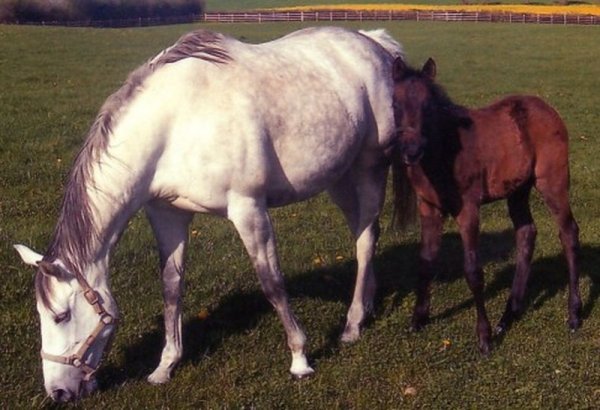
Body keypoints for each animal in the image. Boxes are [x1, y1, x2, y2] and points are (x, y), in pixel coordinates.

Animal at [14, 27, 410, 402]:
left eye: (61, 315)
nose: (58, 392)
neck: (175, 125)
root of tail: (374, 44)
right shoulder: (167, 214)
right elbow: (171, 287)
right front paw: (164, 366)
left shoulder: (249, 209)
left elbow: (272, 283)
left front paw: (300, 360)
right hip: (339, 178)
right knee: (362, 233)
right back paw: (367, 304)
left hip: (369, 168)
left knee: (366, 240)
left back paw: (352, 325)